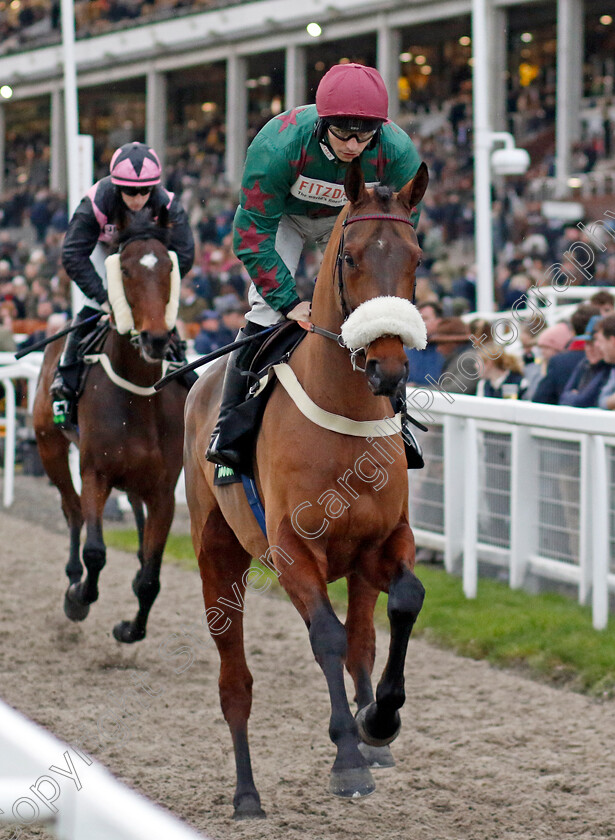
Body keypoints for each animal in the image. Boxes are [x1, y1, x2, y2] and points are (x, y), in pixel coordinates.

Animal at [33, 208, 186, 644]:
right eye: (127, 271)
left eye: (169, 268)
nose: (155, 338)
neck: (139, 396)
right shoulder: (94, 472)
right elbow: (96, 552)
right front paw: (78, 598)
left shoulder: (164, 490)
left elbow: (151, 577)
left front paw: (130, 628)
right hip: (50, 447)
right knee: (72, 512)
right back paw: (72, 579)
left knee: (132, 513)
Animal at [184, 161, 428, 816]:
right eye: (350, 258)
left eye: (417, 257)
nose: (389, 370)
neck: (342, 415)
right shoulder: (292, 550)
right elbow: (327, 638)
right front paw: (347, 761)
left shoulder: (386, 540)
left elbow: (404, 602)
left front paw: (380, 722)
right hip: (217, 554)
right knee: (235, 682)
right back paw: (246, 794)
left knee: (364, 637)